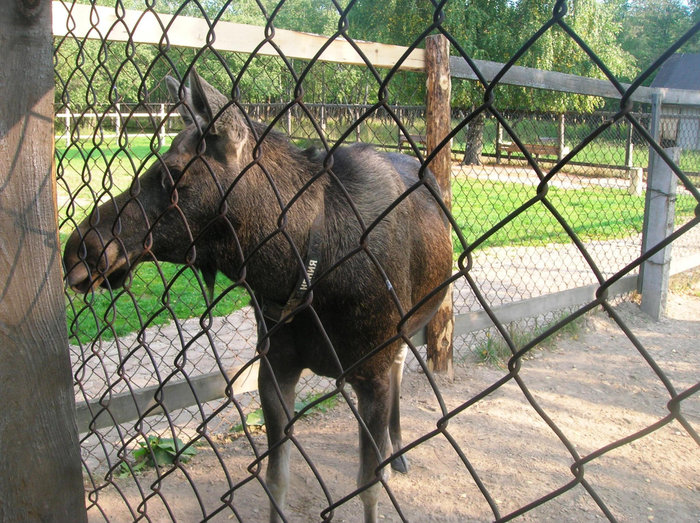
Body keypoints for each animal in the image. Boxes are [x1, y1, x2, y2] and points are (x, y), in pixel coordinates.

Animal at [63, 70, 452, 523]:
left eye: (171, 173)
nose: (79, 248)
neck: (302, 269)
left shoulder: (371, 371)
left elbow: (367, 489)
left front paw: (383, 468)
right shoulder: (275, 365)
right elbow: (275, 477)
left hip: (409, 327)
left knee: (401, 368)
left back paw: (397, 452)